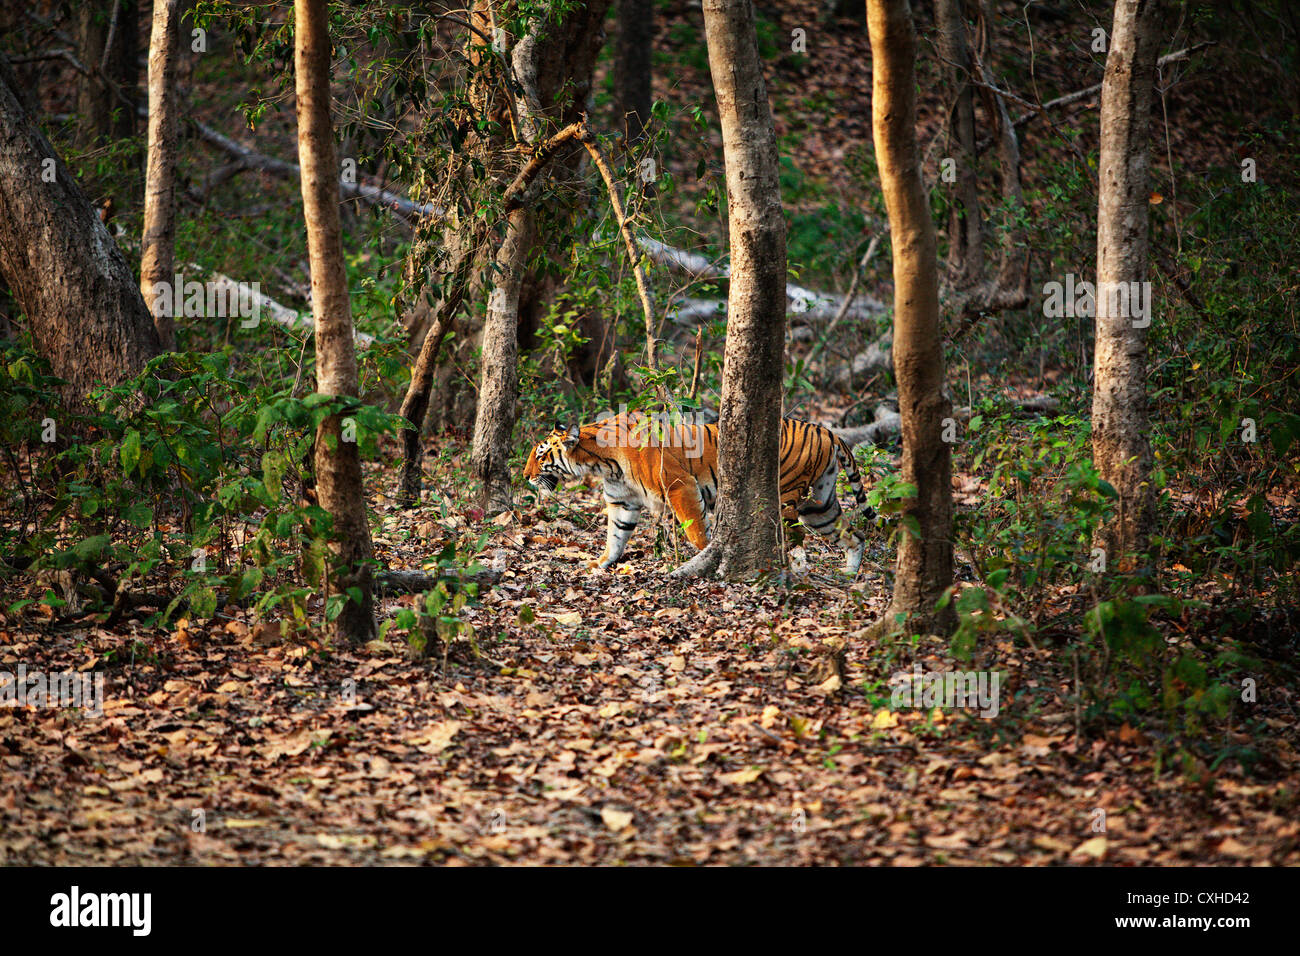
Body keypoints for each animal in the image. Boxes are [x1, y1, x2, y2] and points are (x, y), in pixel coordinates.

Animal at [520, 413, 873, 574]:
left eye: (540, 455)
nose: (524, 476)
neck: (601, 462)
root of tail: (828, 431)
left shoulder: (680, 486)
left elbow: (695, 531)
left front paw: (705, 558)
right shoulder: (622, 501)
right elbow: (616, 536)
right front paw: (602, 562)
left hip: (787, 494)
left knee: (793, 538)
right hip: (819, 504)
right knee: (854, 535)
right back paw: (848, 575)